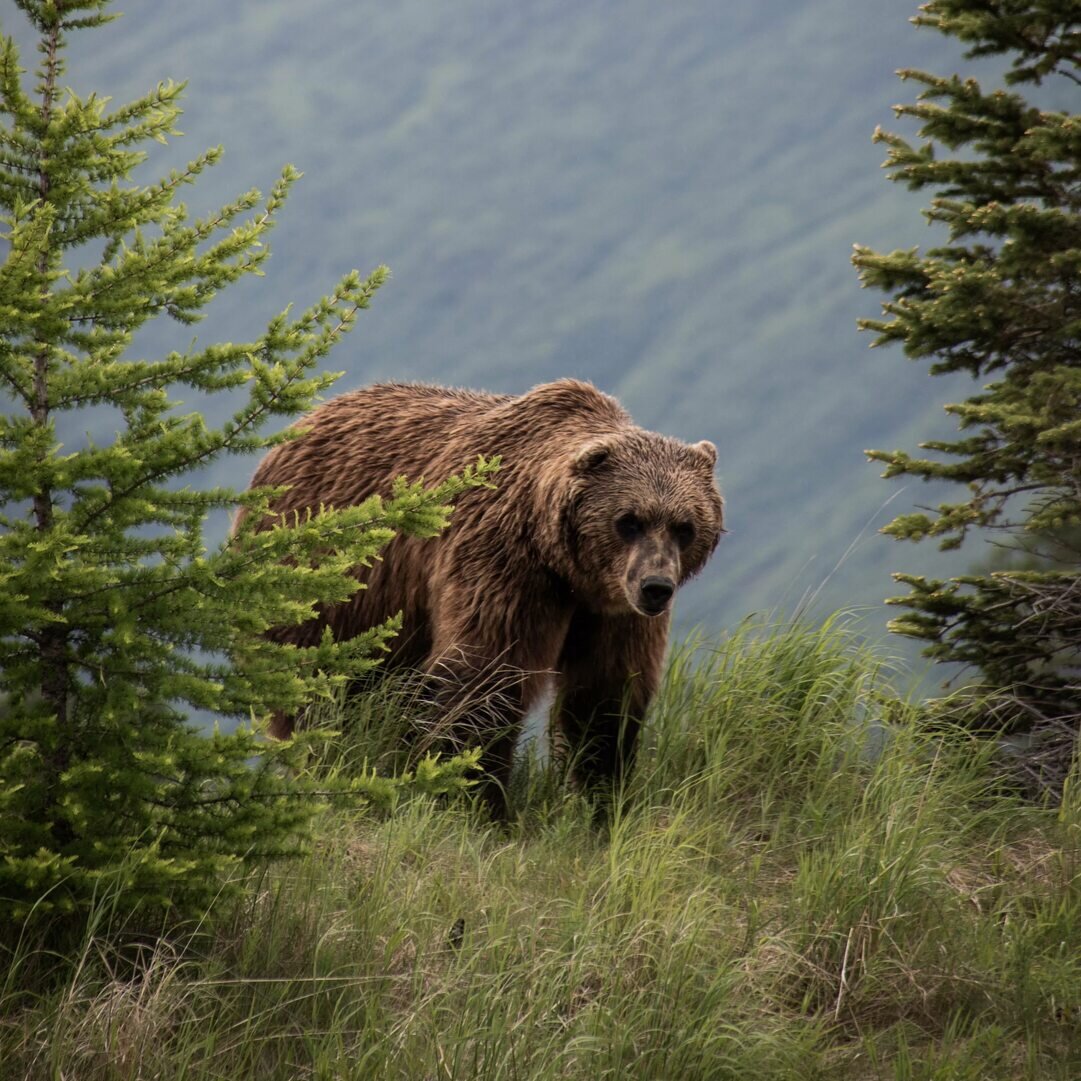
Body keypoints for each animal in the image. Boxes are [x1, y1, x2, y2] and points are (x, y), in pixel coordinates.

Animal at [241, 376, 722, 812]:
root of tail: (299, 426)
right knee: (321, 688)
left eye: (684, 526)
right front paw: (477, 801)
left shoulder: (611, 611)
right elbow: (484, 676)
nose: (656, 587)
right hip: (325, 585)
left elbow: (605, 696)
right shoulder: (504, 564)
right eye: (629, 520)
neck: (565, 566)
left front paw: (599, 800)